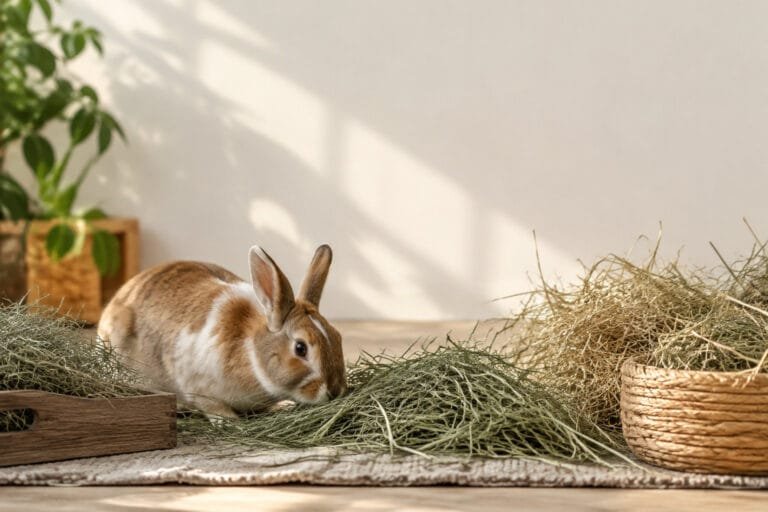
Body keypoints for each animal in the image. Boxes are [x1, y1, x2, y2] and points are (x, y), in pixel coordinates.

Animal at [97, 244, 346, 419]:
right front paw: (232, 422)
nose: (335, 391)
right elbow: (214, 408)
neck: (250, 350)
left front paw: (283, 405)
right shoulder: (196, 384)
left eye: (337, 337)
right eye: (300, 348)